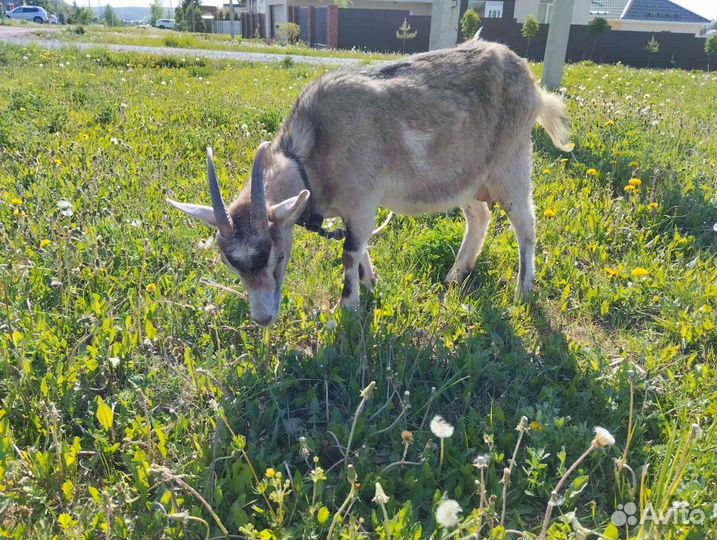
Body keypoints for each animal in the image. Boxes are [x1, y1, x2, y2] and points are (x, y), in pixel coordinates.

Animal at [168, 37, 571, 326]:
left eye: (277, 255)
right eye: (231, 265)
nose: (264, 318)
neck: (312, 151)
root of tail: (533, 86)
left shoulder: (362, 198)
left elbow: (350, 250)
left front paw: (346, 310)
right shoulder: (353, 209)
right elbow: (360, 247)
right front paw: (370, 283)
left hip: (511, 161)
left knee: (526, 226)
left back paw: (523, 291)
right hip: (466, 178)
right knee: (480, 217)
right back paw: (455, 276)